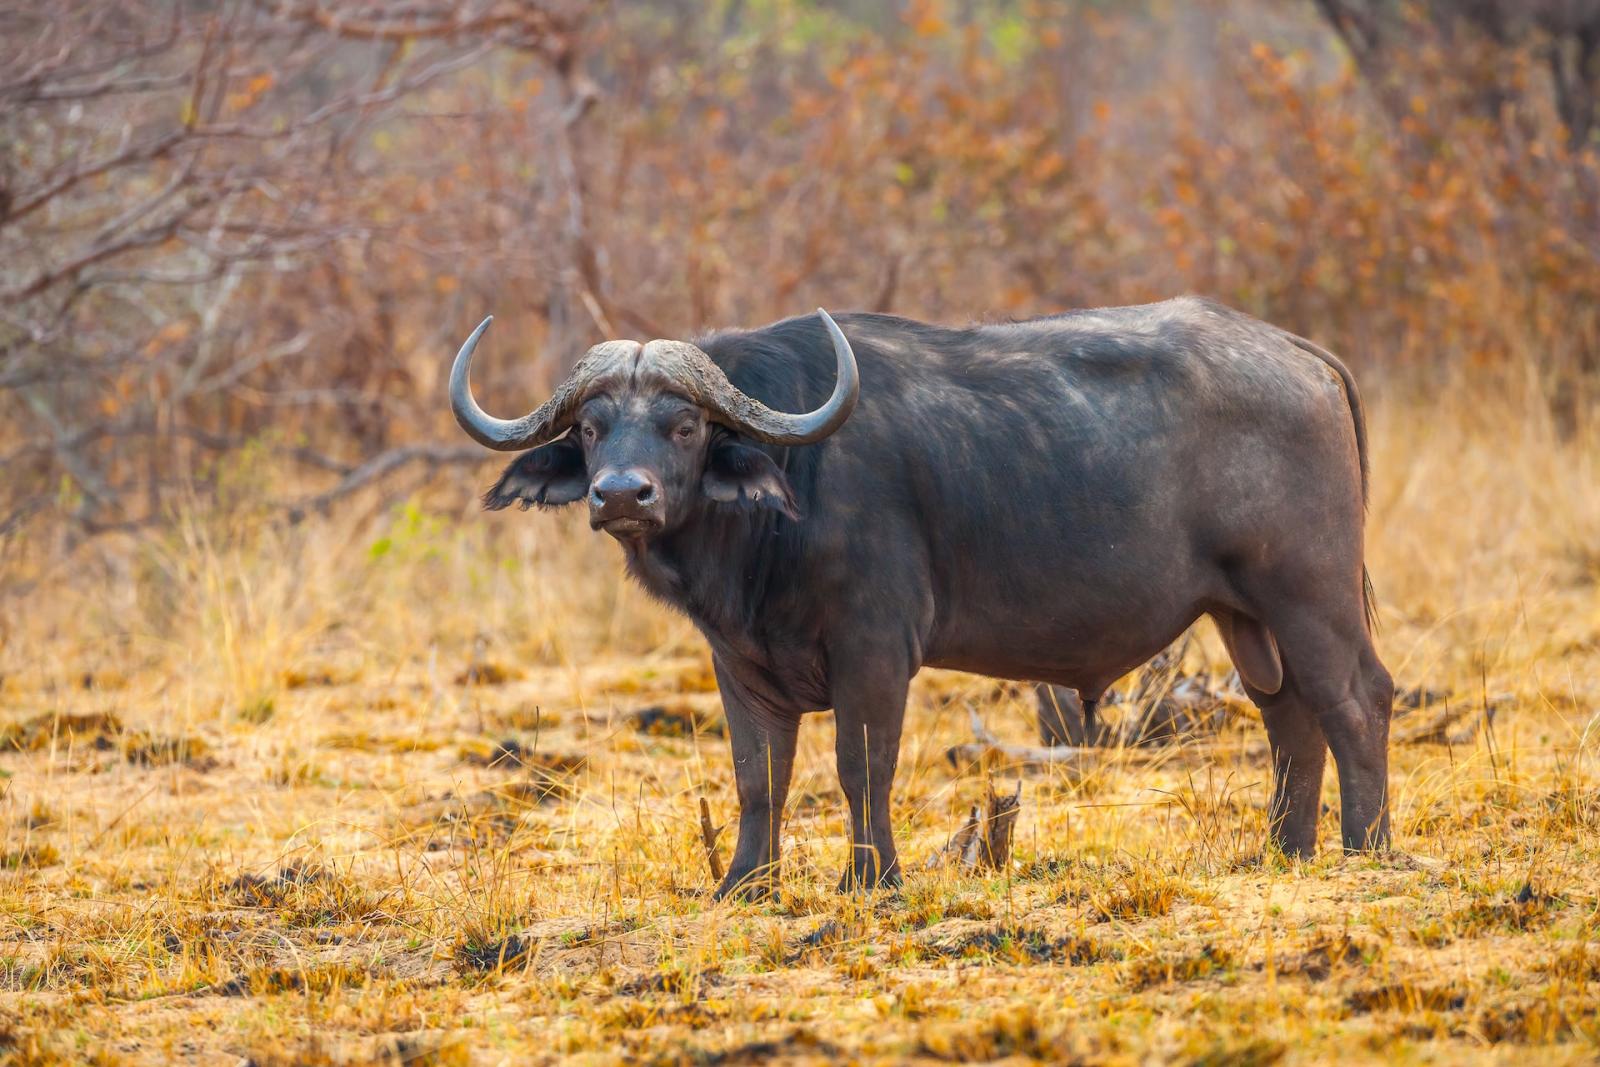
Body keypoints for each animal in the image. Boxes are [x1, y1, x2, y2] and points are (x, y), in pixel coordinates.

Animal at [448, 295, 1388, 895]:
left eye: (683, 425)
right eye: (591, 427)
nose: (621, 495)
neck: (788, 495)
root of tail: (1301, 354)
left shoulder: (873, 649)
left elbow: (861, 764)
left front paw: (870, 879)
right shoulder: (739, 664)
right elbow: (759, 776)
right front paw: (744, 884)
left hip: (1308, 591)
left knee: (1356, 699)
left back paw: (1365, 846)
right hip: (1245, 615)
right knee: (1288, 715)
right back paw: (1284, 852)